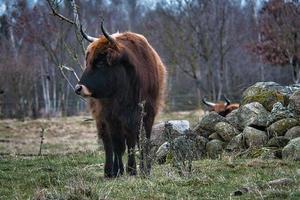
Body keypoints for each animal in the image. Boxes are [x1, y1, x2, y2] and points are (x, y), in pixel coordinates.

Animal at [75, 22, 166, 177]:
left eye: (100, 63)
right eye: (87, 62)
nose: (79, 88)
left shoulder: (147, 115)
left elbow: (142, 142)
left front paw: (144, 170)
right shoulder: (111, 117)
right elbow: (118, 146)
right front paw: (123, 170)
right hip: (102, 120)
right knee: (108, 144)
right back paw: (109, 171)